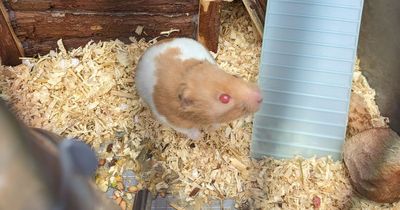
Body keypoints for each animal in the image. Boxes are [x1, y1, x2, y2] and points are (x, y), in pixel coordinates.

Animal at [134, 37, 262, 139]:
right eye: (224, 98)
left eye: (235, 76)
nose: (261, 97)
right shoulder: (171, 120)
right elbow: (188, 130)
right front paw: (199, 137)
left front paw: (212, 129)